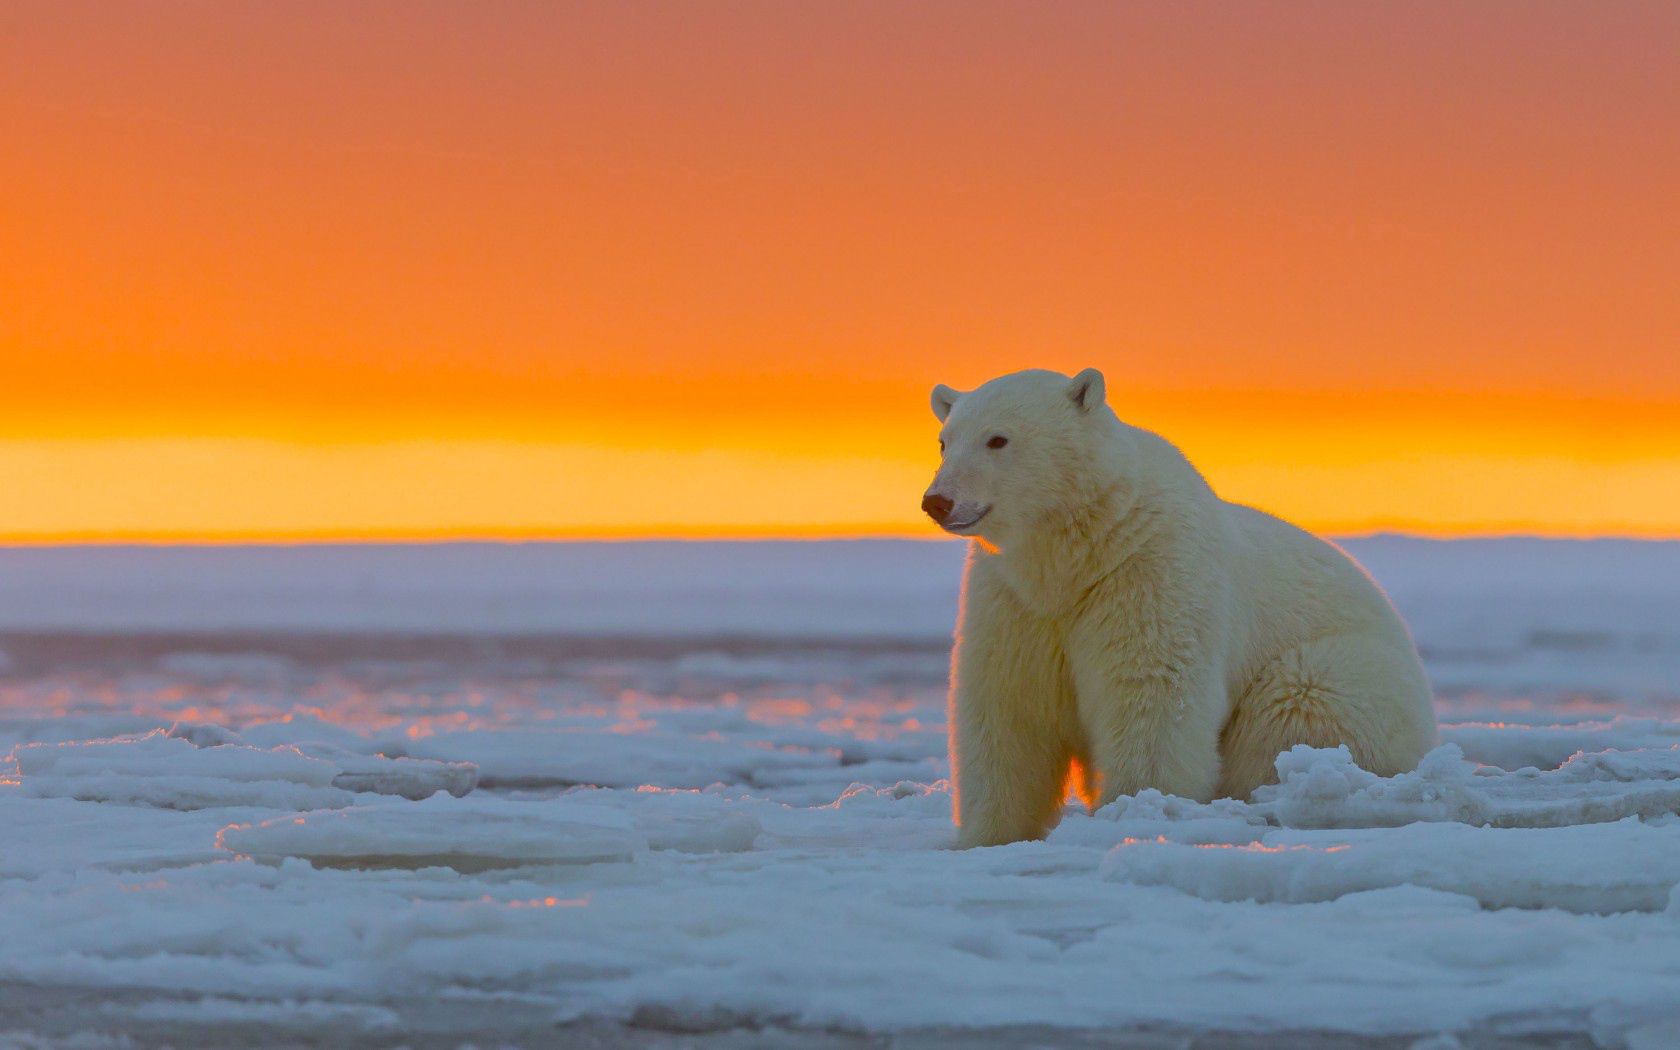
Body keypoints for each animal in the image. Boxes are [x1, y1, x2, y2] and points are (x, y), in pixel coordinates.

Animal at [927, 366, 1438, 843]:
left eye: (998, 438)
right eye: (944, 441)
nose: (937, 501)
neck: (1078, 555)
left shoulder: (1149, 570)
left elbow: (1149, 692)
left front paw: (1138, 807)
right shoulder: (1014, 599)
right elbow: (1007, 706)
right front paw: (989, 834)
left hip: (1347, 676)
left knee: (1297, 707)